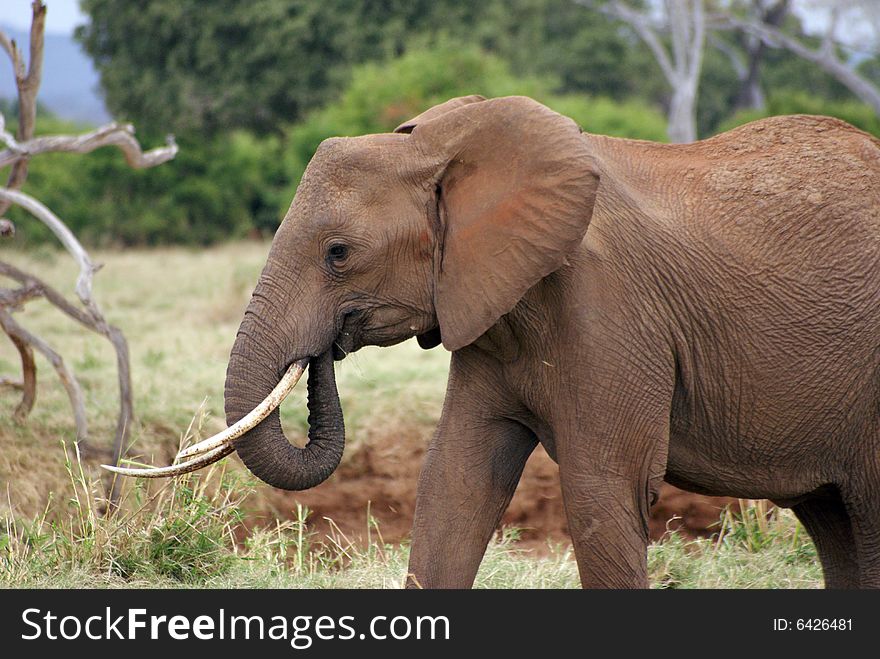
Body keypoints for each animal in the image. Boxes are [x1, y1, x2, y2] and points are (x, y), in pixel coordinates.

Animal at [113, 94, 880, 588]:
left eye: (337, 253)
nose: (325, 350)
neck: (437, 150)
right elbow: (454, 482)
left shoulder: (610, 310)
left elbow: (604, 495)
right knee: (832, 519)